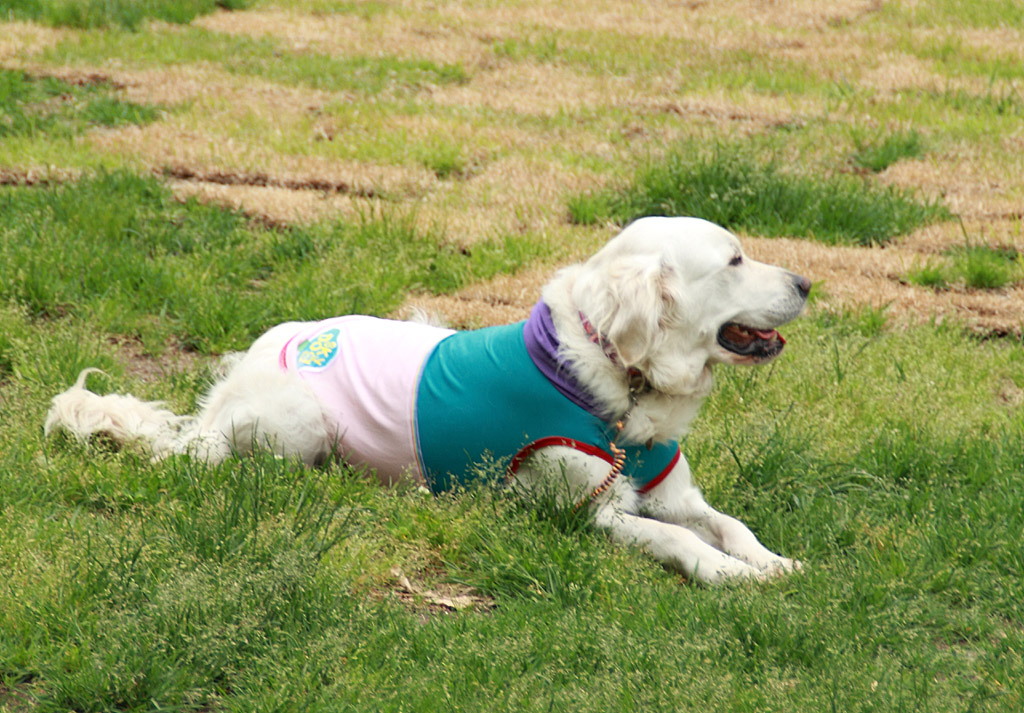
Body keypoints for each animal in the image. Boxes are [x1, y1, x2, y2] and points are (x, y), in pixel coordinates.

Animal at [46, 216, 810, 584]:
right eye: (735, 260)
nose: (807, 282)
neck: (623, 385)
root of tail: (278, 338)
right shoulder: (582, 511)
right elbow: (678, 537)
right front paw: (725, 573)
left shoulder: (673, 489)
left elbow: (728, 521)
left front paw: (771, 561)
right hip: (299, 421)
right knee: (201, 457)